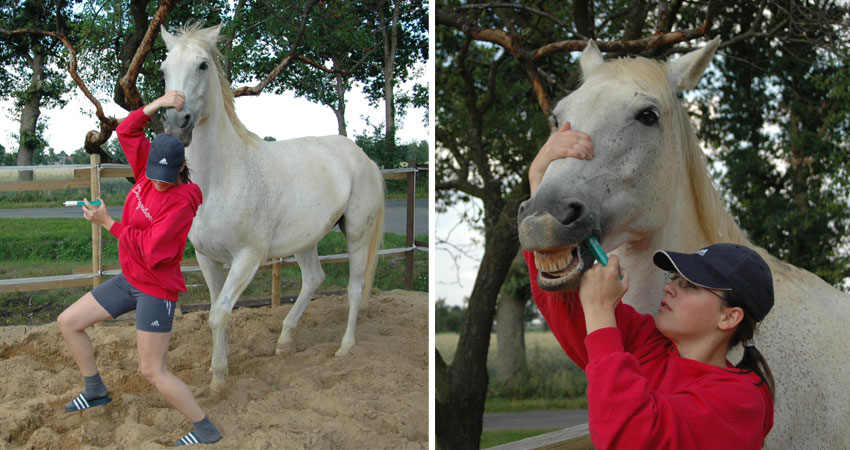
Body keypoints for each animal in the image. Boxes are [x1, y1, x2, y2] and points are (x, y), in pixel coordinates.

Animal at [156, 24, 384, 390]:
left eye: (203, 65)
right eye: (164, 70)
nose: (177, 122)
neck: (223, 177)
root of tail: (364, 158)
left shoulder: (248, 258)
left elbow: (219, 314)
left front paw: (218, 379)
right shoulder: (206, 257)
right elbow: (214, 309)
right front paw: (219, 365)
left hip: (357, 234)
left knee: (354, 287)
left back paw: (345, 347)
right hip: (305, 240)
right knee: (313, 278)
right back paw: (285, 341)